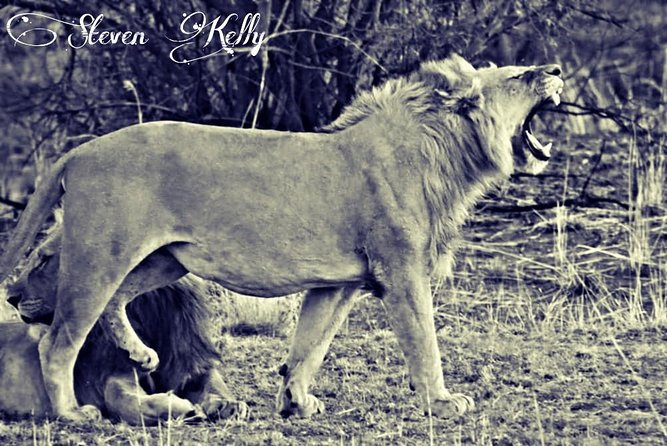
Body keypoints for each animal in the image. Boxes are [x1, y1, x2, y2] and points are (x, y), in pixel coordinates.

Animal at [1, 222, 248, 425]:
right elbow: (124, 400)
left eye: (43, 260)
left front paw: (227, 404)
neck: (143, 312)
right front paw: (182, 408)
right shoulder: (112, 374)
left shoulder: (189, 361)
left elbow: (211, 382)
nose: (10, 297)